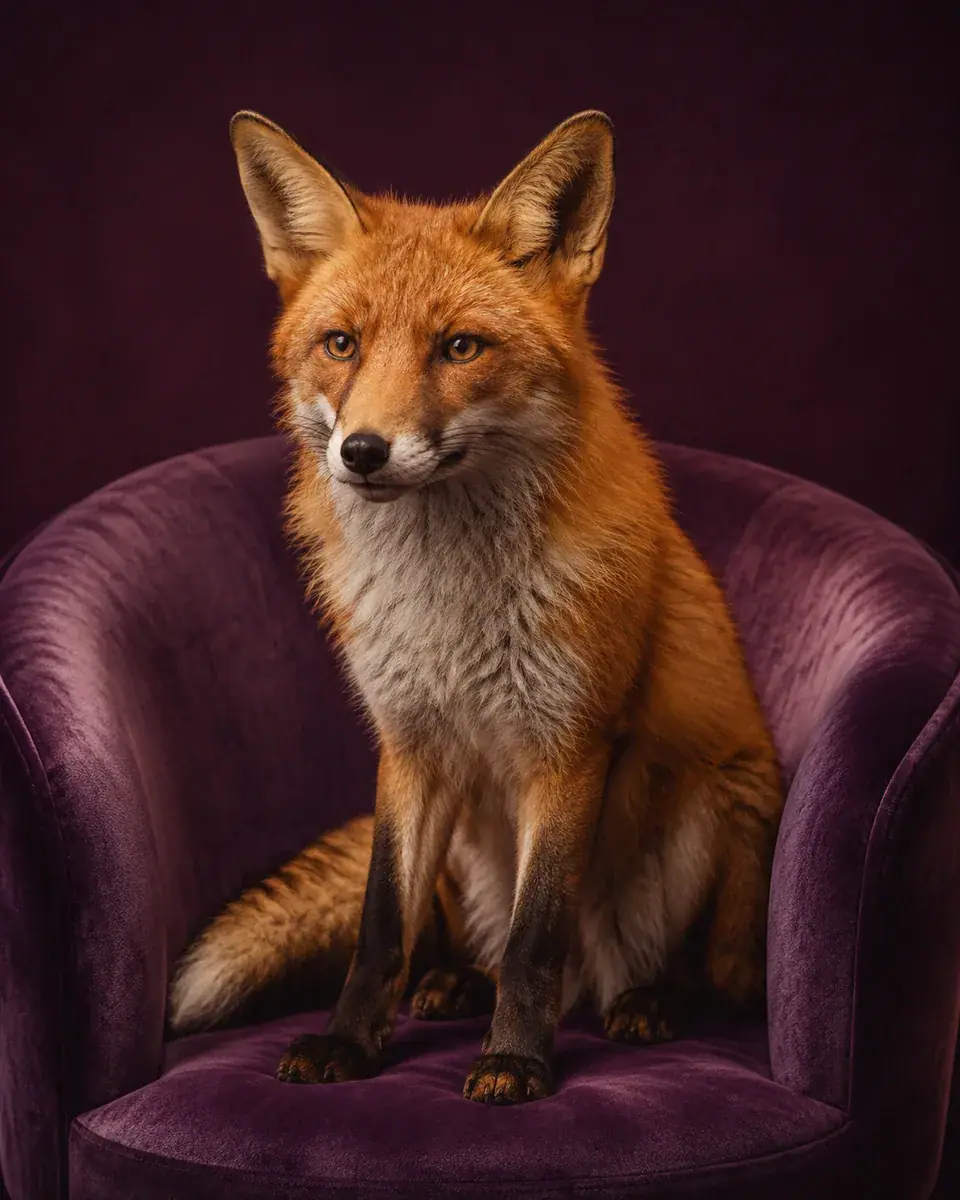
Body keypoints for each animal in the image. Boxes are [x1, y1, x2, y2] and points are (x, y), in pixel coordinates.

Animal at [168, 108, 783, 1105]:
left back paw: (647, 1001)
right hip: (460, 838)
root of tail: (596, 981)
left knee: (691, 977)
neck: (449, 605)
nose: (363, 451)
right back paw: (456, 984)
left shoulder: (567, 747)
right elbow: (382, 925)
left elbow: (538, 936)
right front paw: (348, 1044)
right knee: (464, 947)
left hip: (711, 807)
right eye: (340, 344)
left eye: (459, 347)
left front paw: (516, 1063)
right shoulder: (408, 744)